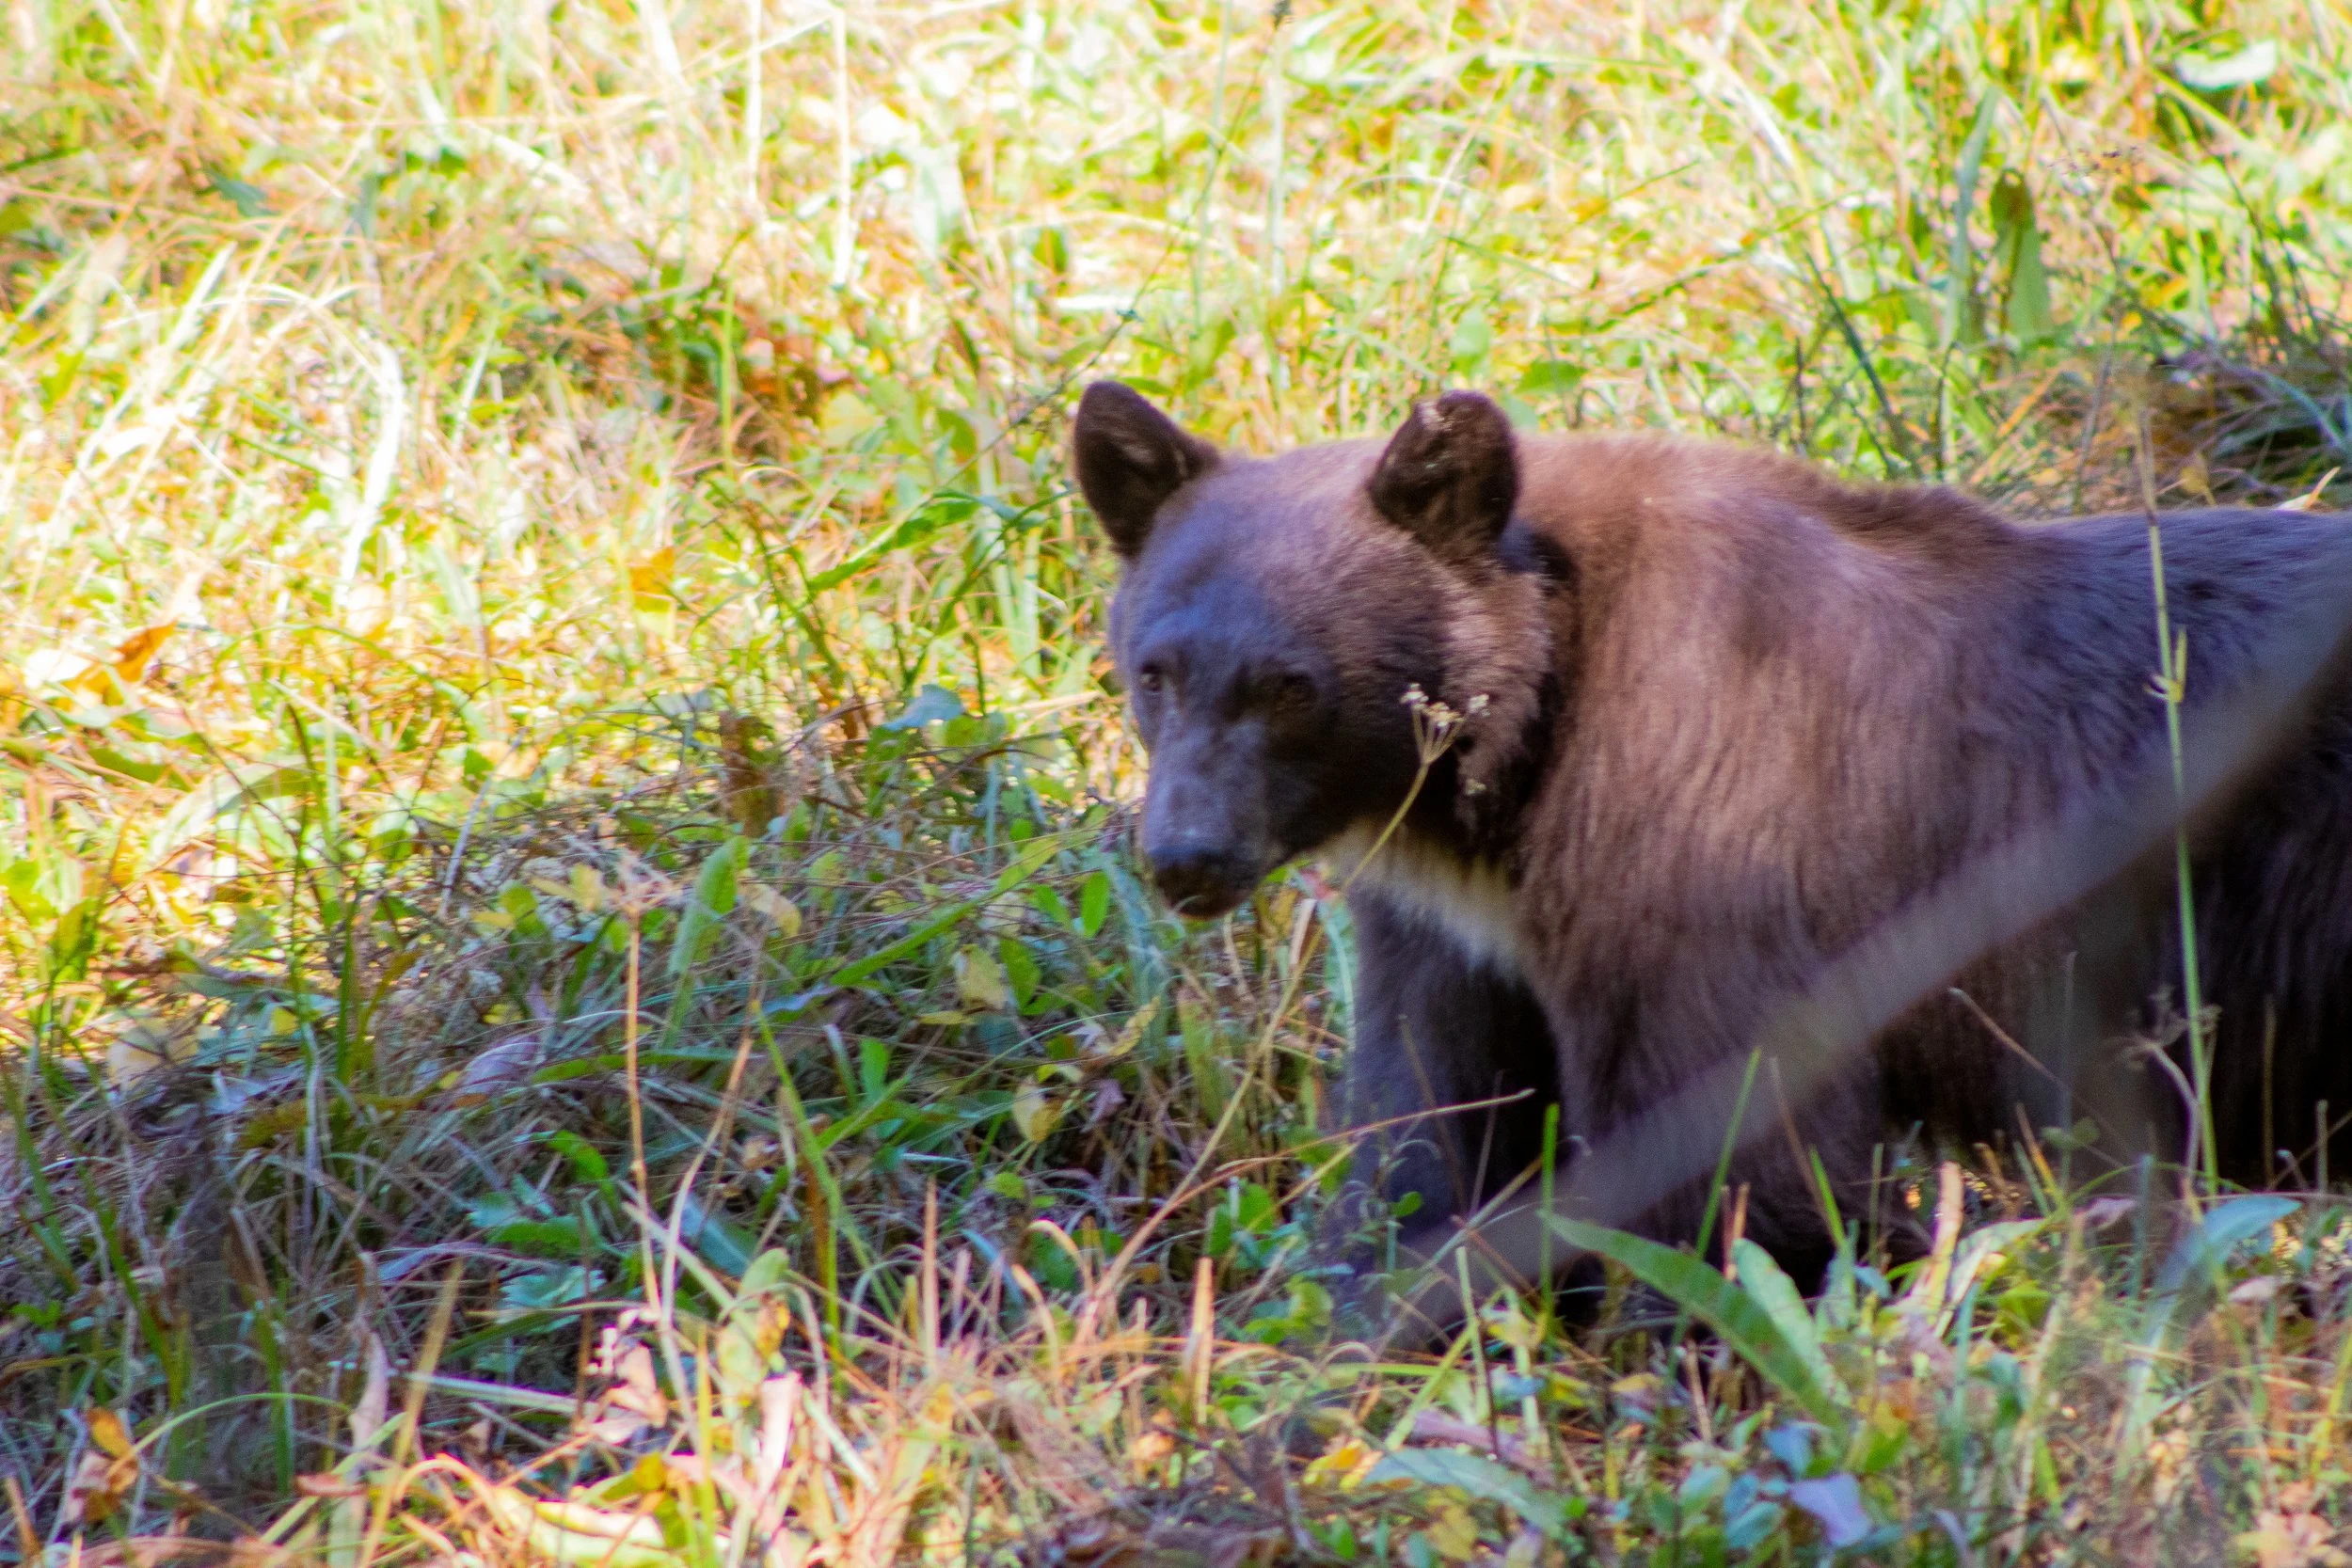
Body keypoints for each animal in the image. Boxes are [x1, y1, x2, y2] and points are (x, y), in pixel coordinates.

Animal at [1070, 378, 2352, 1336]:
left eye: (1291, 686)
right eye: (1157, 670)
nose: (1187, 856)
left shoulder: (1708, 832)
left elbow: (1726, 1152)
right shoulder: (1458, 930)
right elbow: (1433, 1123)